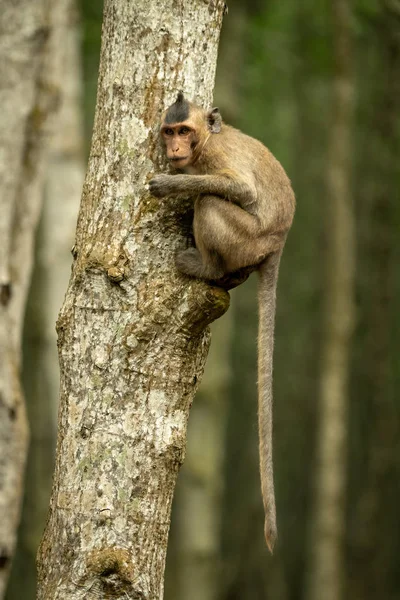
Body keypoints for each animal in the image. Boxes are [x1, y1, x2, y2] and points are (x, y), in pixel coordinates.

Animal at [148, 91, 296, 552]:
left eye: (185, 131)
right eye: (169, 131)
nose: (175, 148)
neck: (206, 144)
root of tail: (278, 242)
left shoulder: (216, 157)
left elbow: (238, 188)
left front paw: (173, 186)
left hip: (245, 238)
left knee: (212, 202)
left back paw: (207, 267)